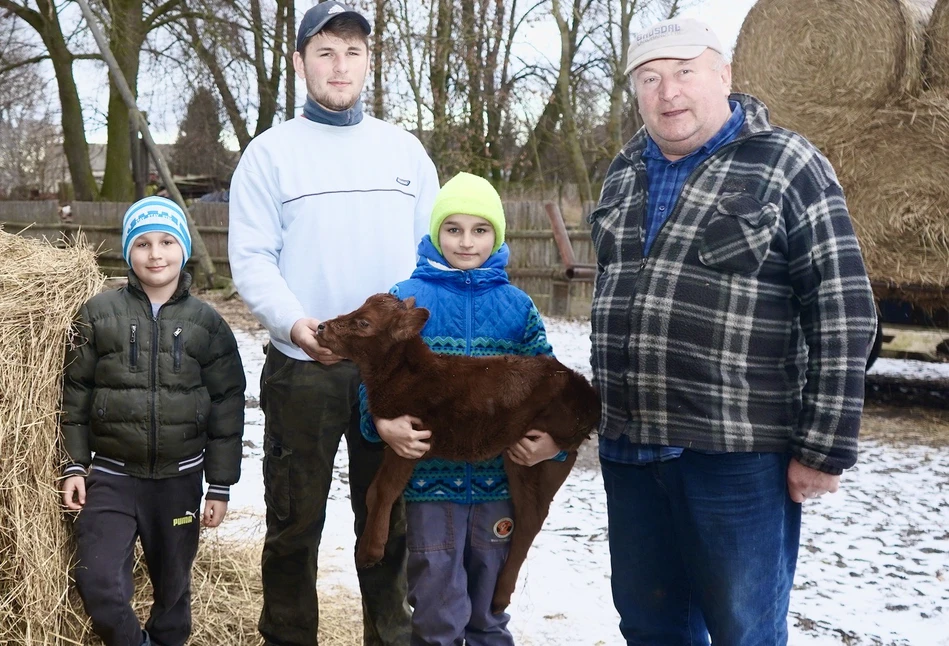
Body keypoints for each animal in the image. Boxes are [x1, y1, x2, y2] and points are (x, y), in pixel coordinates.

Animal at [318, 296, 600, 616]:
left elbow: (384, 491)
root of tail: (588, 398)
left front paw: (370, 551)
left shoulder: (413, 436)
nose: (321, 327)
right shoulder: (397, 440)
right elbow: (374, 491)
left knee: (531, 519)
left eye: (364, 322)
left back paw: (501, 595)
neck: (402, 377)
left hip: (542, 458)